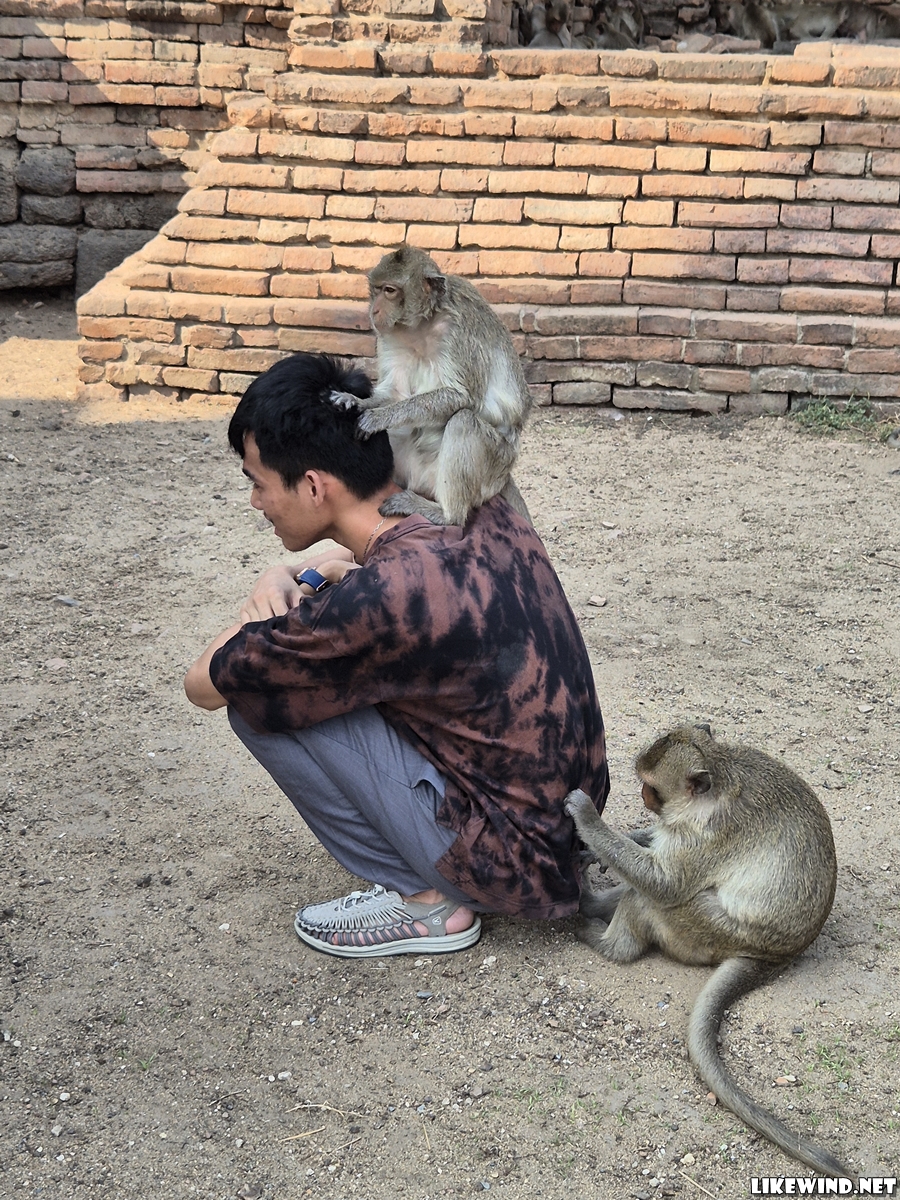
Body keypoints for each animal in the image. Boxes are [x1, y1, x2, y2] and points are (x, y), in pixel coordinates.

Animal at [330, 246, 532, 527]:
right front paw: (355, 401)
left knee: (464, 421)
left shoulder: (458, 330)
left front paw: (378, 417)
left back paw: (446, 515)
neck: (420, 324)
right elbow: (395, 392)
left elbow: (461, 397)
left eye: (390, 291)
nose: (374, 311)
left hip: (495, 467)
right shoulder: (390, 334)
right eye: (376, 289)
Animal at [565, 724, 851, 1179]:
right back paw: (592, 903)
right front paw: (610, 842)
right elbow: (654, 851)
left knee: (654, 898)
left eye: (651, 786)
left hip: (706, 931)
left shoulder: (706, 835)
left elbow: (664, 882)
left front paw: (588, 817)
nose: (645, 800)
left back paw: (607, 940)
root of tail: (776, 955)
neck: (720, 772)